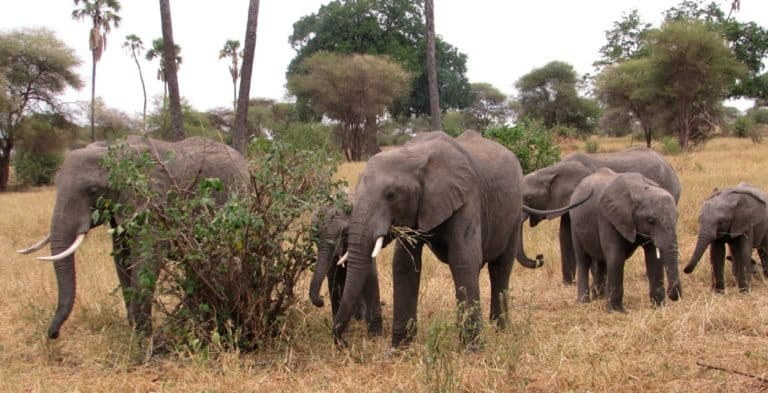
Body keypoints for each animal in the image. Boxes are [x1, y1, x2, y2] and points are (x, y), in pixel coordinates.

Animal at [17, 135, 249, 336]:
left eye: (93, 191)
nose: (53, 334)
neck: (116, 149)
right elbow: (122, 256)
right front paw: (135, 334)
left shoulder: (154, 202)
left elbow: (147, 257)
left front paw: (144, 339)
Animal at [332, 130, 592, 348]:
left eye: (391, 195)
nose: (342, 343)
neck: (415, 155)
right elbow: (404, 266)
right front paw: (398, 350)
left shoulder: (467, 197)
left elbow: (463, 259)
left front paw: (472, 350)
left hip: (511, 214)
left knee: (500, 269)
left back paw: (500, 328)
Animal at [520, 145, 680, 284]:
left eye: (528, 198)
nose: (539, 257)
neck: (552, 170)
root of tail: (669, 164)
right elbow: (565, 234)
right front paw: (567, 284)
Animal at [568, 167, 680, 310]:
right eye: (651, 220)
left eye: (677, 218)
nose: (671, 293)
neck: (640, 190)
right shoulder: (607, 217)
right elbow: (616, 256)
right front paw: (616, 311)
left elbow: (653, 258)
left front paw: (659, 308)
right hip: (574, 223)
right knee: (583, 260)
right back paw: (584, 302)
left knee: (601, 261)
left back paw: (599, 298)